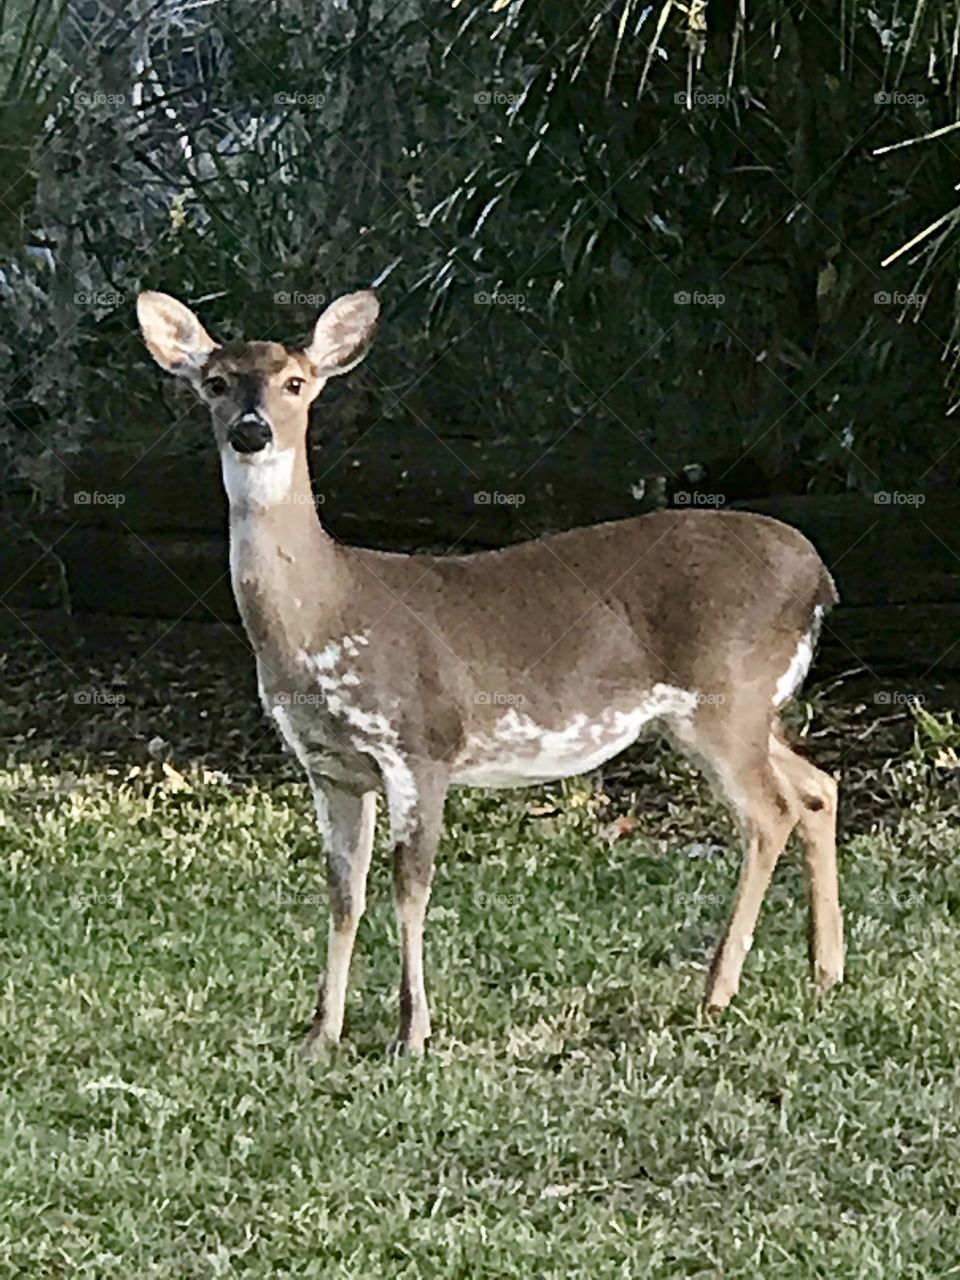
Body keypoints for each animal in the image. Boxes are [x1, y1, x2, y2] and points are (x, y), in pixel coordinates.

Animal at [138, 290, 844, 1059]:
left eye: (296, 382)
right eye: (215, 382)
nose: (252, 430)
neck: (325, 614)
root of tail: (819, 576)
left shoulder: (422, 741)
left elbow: (410, 885)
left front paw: (412, 1033)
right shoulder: (330, 767)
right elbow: (343, 891)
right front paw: (320, 1033)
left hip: (725, 695)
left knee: (769, 813)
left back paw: (717, 992)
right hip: (740, 708)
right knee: (817, 788)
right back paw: (823, 971)